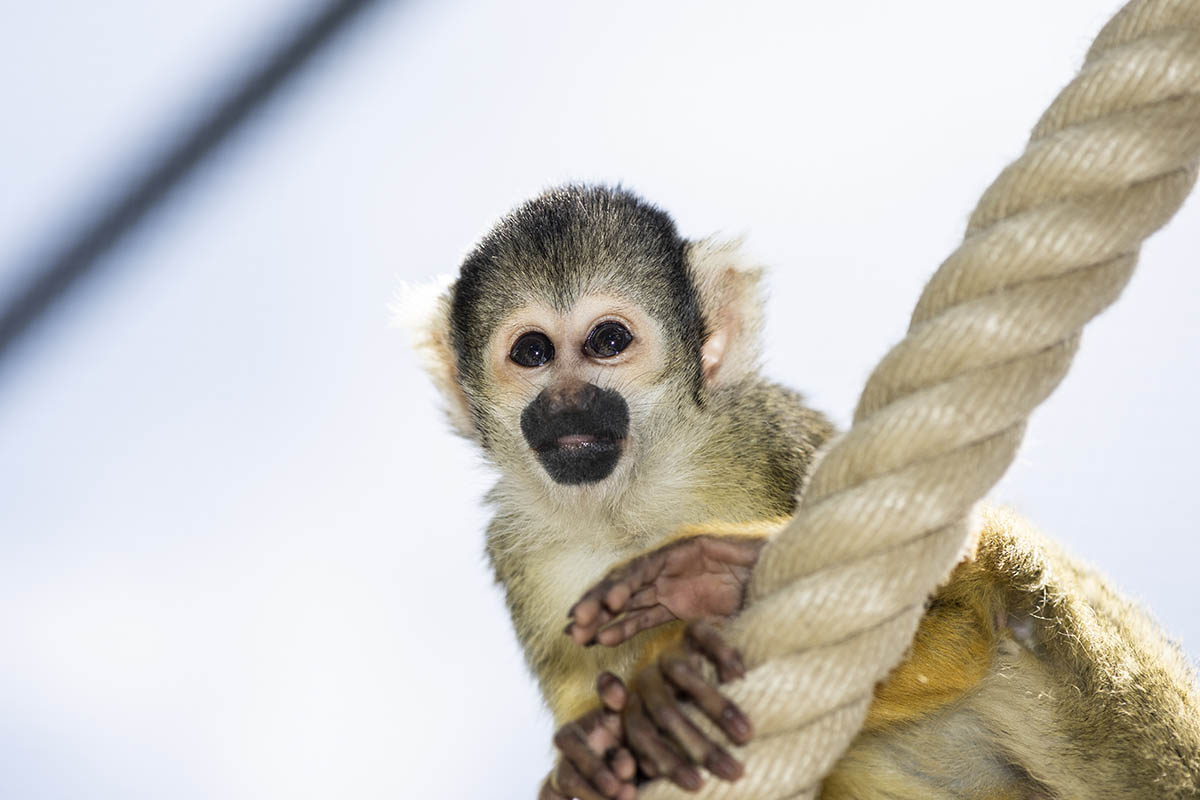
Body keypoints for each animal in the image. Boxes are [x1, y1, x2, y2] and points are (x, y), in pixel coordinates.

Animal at [405, 185, 1200, 800]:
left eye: (607, 342)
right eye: (532, 352)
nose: (568, 404)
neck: (633, 504)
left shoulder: (774, 442)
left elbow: (954, 630)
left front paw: (671, 683)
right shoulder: (520, 554)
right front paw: (585, 768)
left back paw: (720, 577)